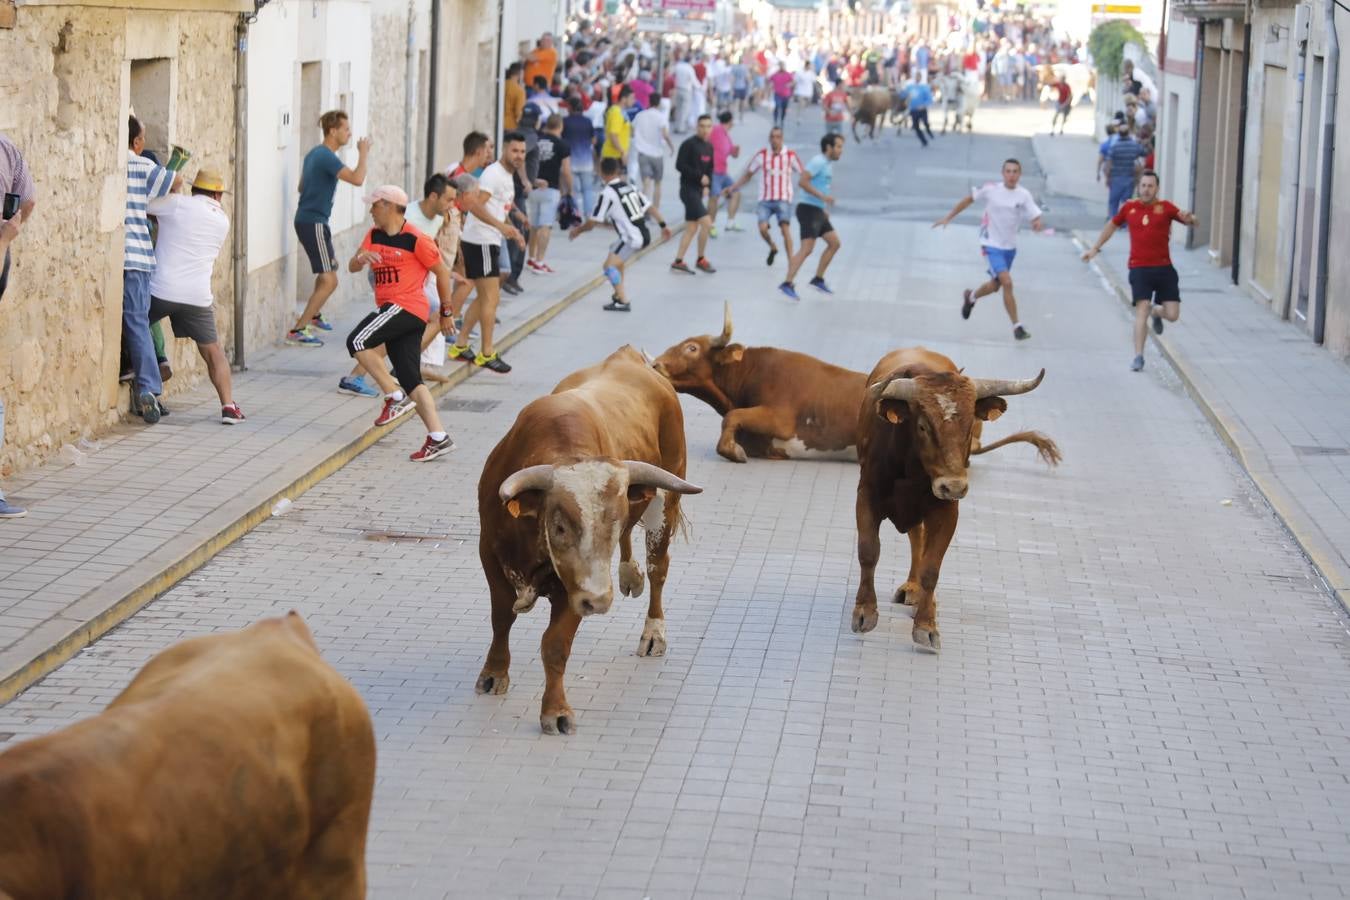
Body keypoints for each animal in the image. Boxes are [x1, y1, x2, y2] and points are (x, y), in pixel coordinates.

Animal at [477, 341, 707, 734]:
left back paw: (653, 633)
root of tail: (630, 357)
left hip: (665, 499)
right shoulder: (489, 554)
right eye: (559, 526)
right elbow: (500, 618)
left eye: (609, 528)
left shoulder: (577, 588)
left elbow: (555, 645)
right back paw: (630, 576)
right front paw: (493, 674)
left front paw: (555, 711)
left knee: (658, 568)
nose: (600, 601)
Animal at [853, 348, 1053, 650]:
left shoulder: (946, 510)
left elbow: (931, 567)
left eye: (970, 425)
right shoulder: (867, 495)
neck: (910, 467)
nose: (954, 486)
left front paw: (926, 625)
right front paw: (865, 612)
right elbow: (868, 551)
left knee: (920, 543)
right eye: (923, 426)